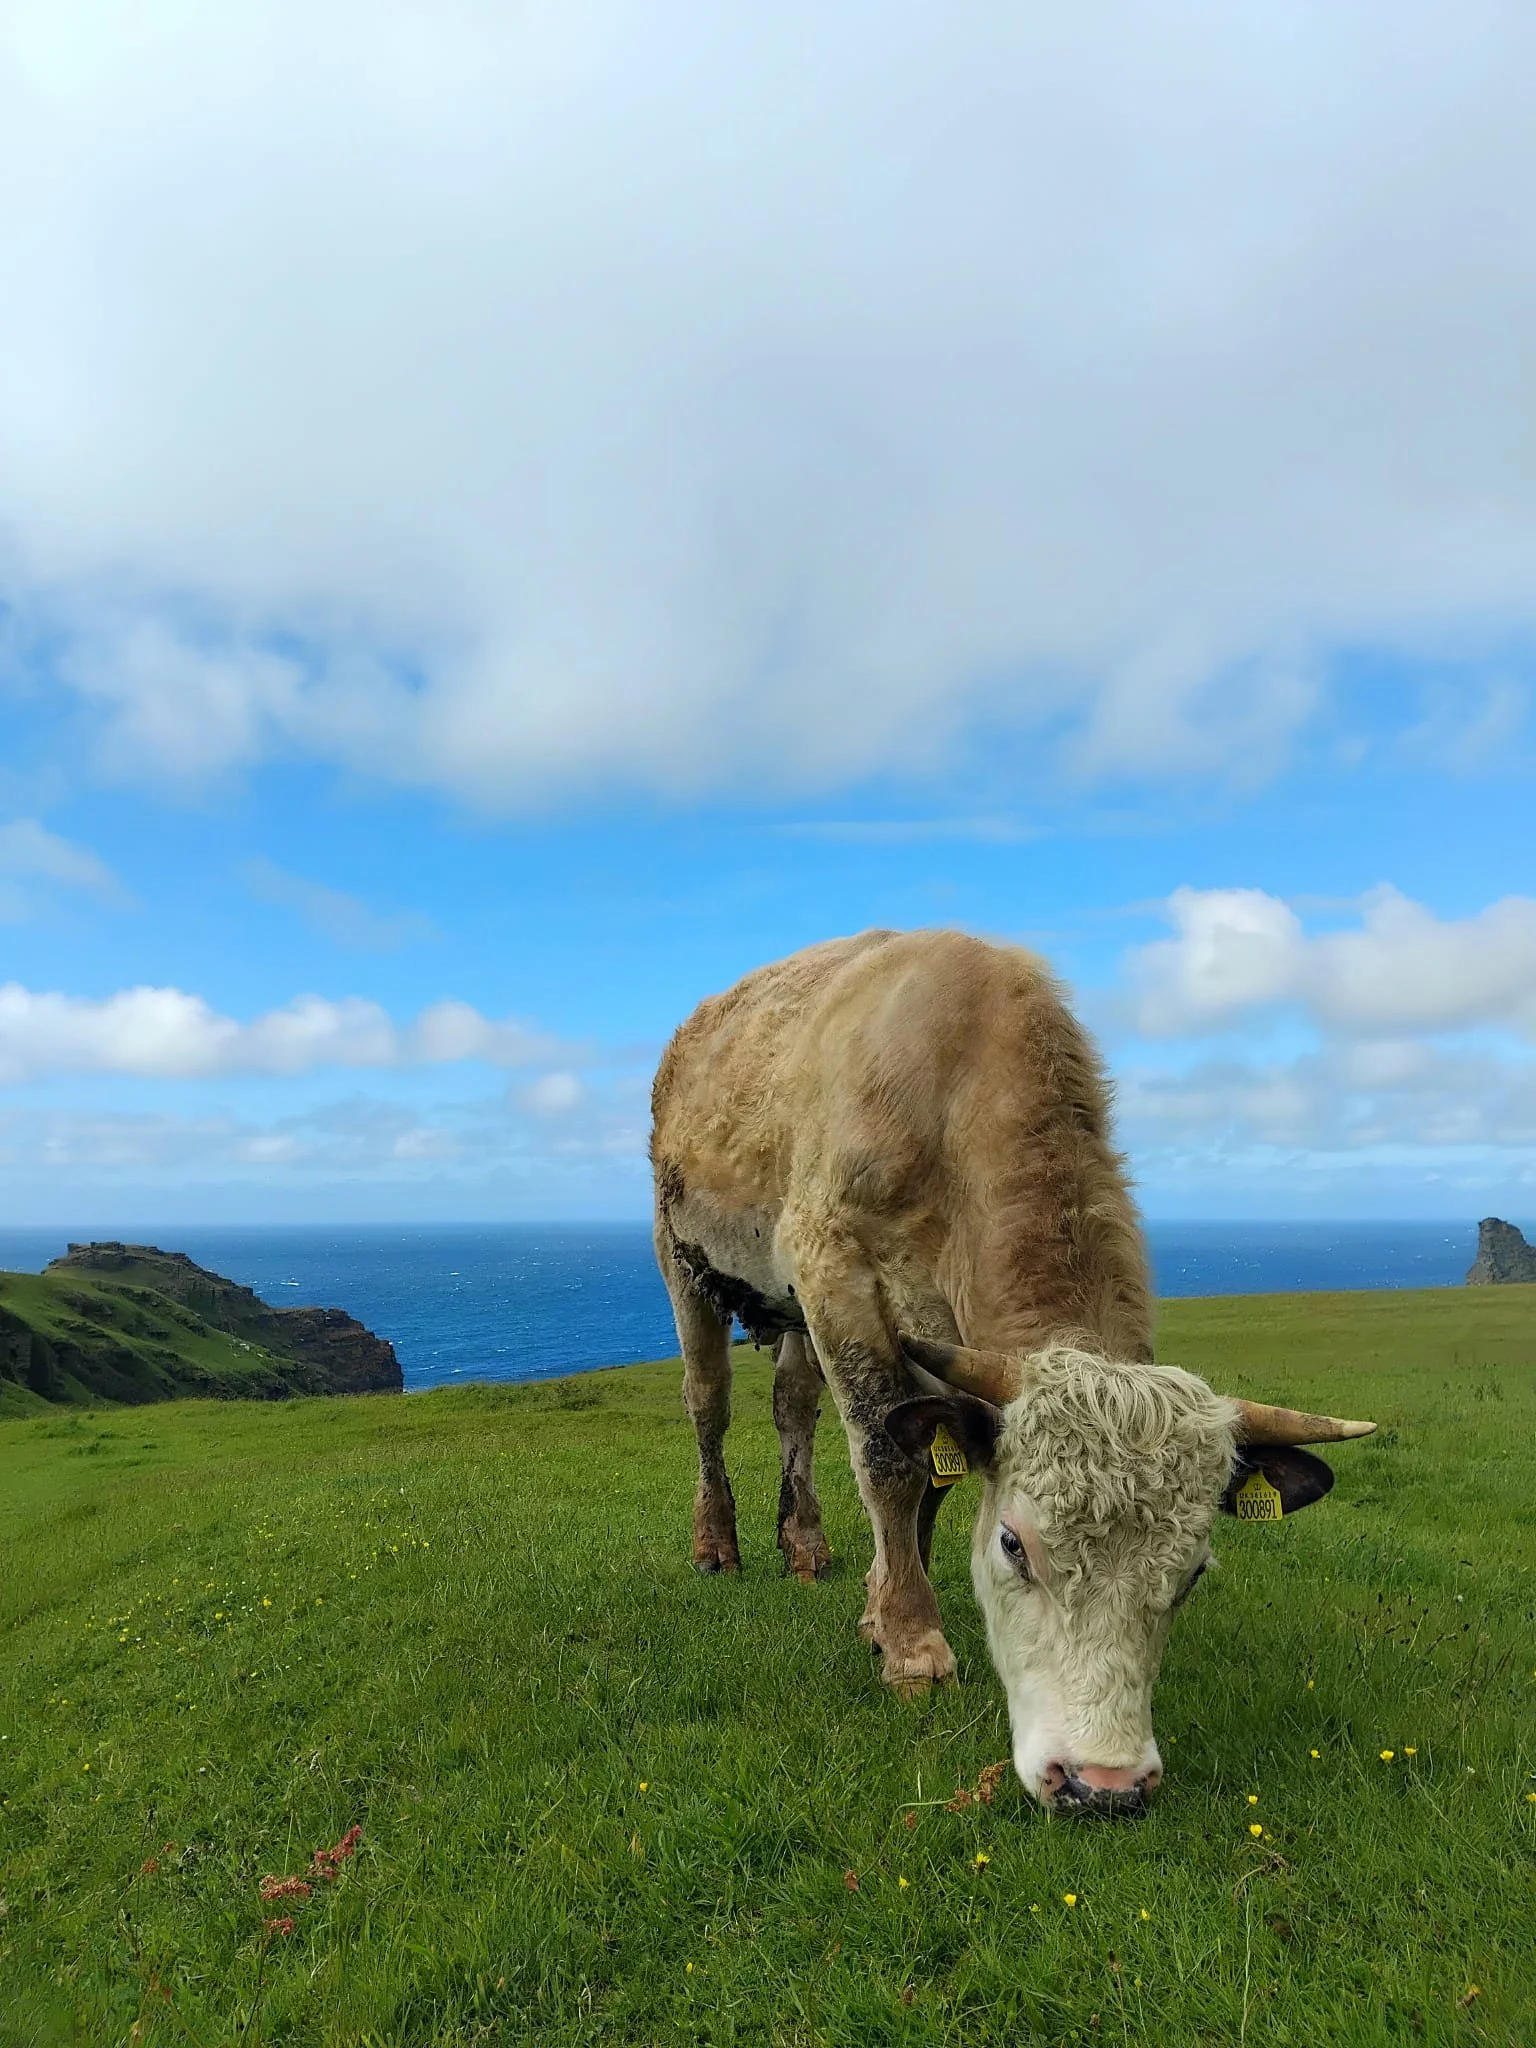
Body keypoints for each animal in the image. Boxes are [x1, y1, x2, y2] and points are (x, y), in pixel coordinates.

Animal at [650, 929, 1374, 1818]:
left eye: (1194, 1571)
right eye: (1013, 1545)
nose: (1104, 1785)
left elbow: (929, 1474)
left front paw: (881, 1607)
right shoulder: (835, 1273)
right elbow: (890, 1464)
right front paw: (913, 1641)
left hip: (788, 1311)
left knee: (794, 1405)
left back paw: (806, 1544)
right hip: (686, 1257)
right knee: (708, 1404)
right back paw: (717, 1542)